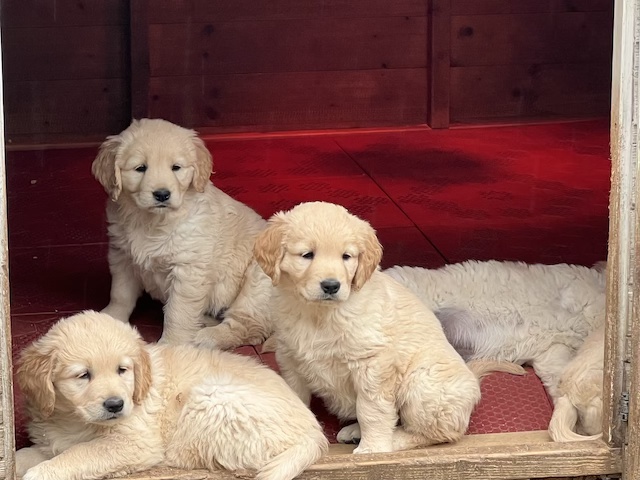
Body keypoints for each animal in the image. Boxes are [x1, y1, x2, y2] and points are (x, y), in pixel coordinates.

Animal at [15, 311, 327, 480]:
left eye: (122, 370)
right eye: (83, 375)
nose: (116, 404)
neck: (73, 419)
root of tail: (313, 432)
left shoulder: (135, 442)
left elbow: (81, 453)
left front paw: (42, 472)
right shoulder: (50, 436)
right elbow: (30, 453)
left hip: (210, 397)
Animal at [92, 118, 272, 348]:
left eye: (176, 168)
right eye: (140, 168)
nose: (162, 194)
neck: (152, 221)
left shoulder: (188, 270)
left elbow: (178, 313)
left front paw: (172, 344)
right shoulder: (122, 257)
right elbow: (120, 294)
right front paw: (109, 318)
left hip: (259, 282)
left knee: (248, 326)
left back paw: (205, 337)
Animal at [253, 201, 524, 454]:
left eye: (346, 257)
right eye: (307, 255)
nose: (331, 286)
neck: (318, 314)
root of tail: (471, 381)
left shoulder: (373, 364)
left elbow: (371, 410)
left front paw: (373, 449)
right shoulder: (290, 359)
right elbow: (294, 397)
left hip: (422, 385)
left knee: (439, 432)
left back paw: (390, 440)